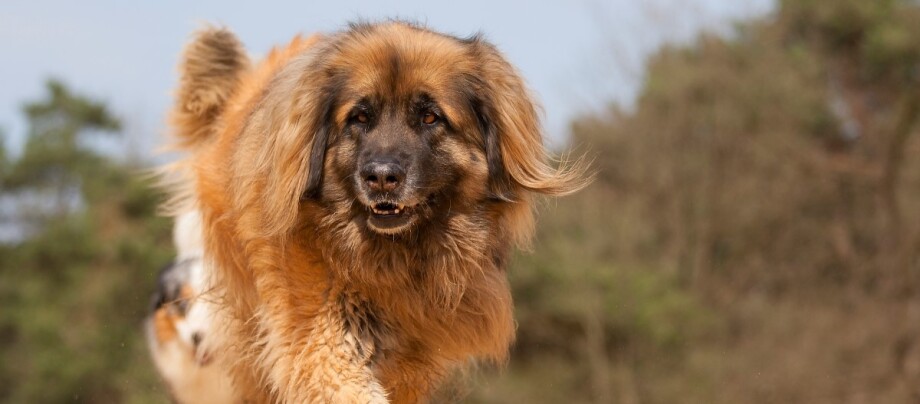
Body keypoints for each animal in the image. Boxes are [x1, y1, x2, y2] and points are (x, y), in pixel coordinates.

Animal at [163, 22, 584, 404]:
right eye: (360, 118)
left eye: (430, 117)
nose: (381, 177)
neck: (392, 262)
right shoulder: (321, 337)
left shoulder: (415, 358)